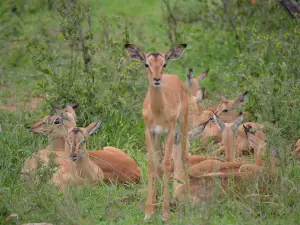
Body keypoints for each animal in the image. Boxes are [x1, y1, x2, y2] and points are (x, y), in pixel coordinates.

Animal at [125, 43, 189, 221]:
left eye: (164, 63)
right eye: (146, 64)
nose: (157, 79)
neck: (159, 111)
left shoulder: (170, 131)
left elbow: (167, 164)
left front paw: (165, 213)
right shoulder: (150, 131)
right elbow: (152, 164)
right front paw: (149, 211)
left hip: (182, 125)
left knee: (183, 157)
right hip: (160, 137)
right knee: (159, 162)